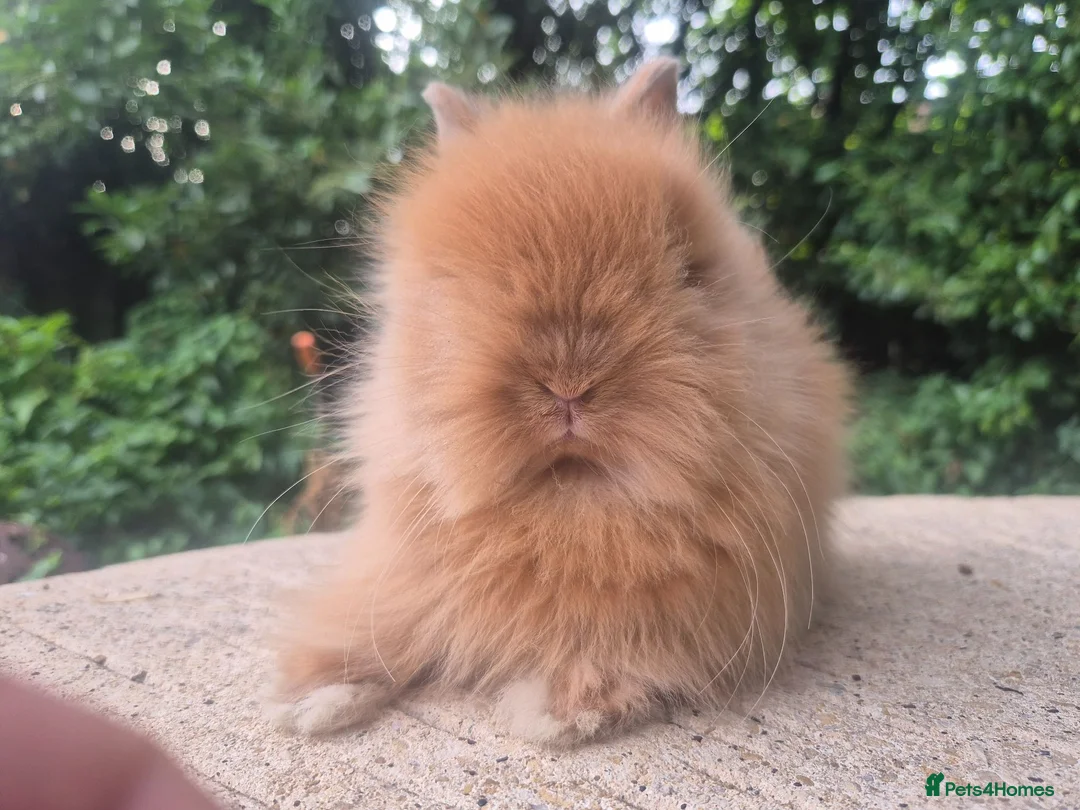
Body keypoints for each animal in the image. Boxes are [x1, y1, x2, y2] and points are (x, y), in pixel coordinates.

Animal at [265, 57, 851, 747]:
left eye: (691, 267)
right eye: (451, 280)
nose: (568, 385)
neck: (569, 500)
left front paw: (555, 713)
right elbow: (377, 629)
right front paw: (309, 701)